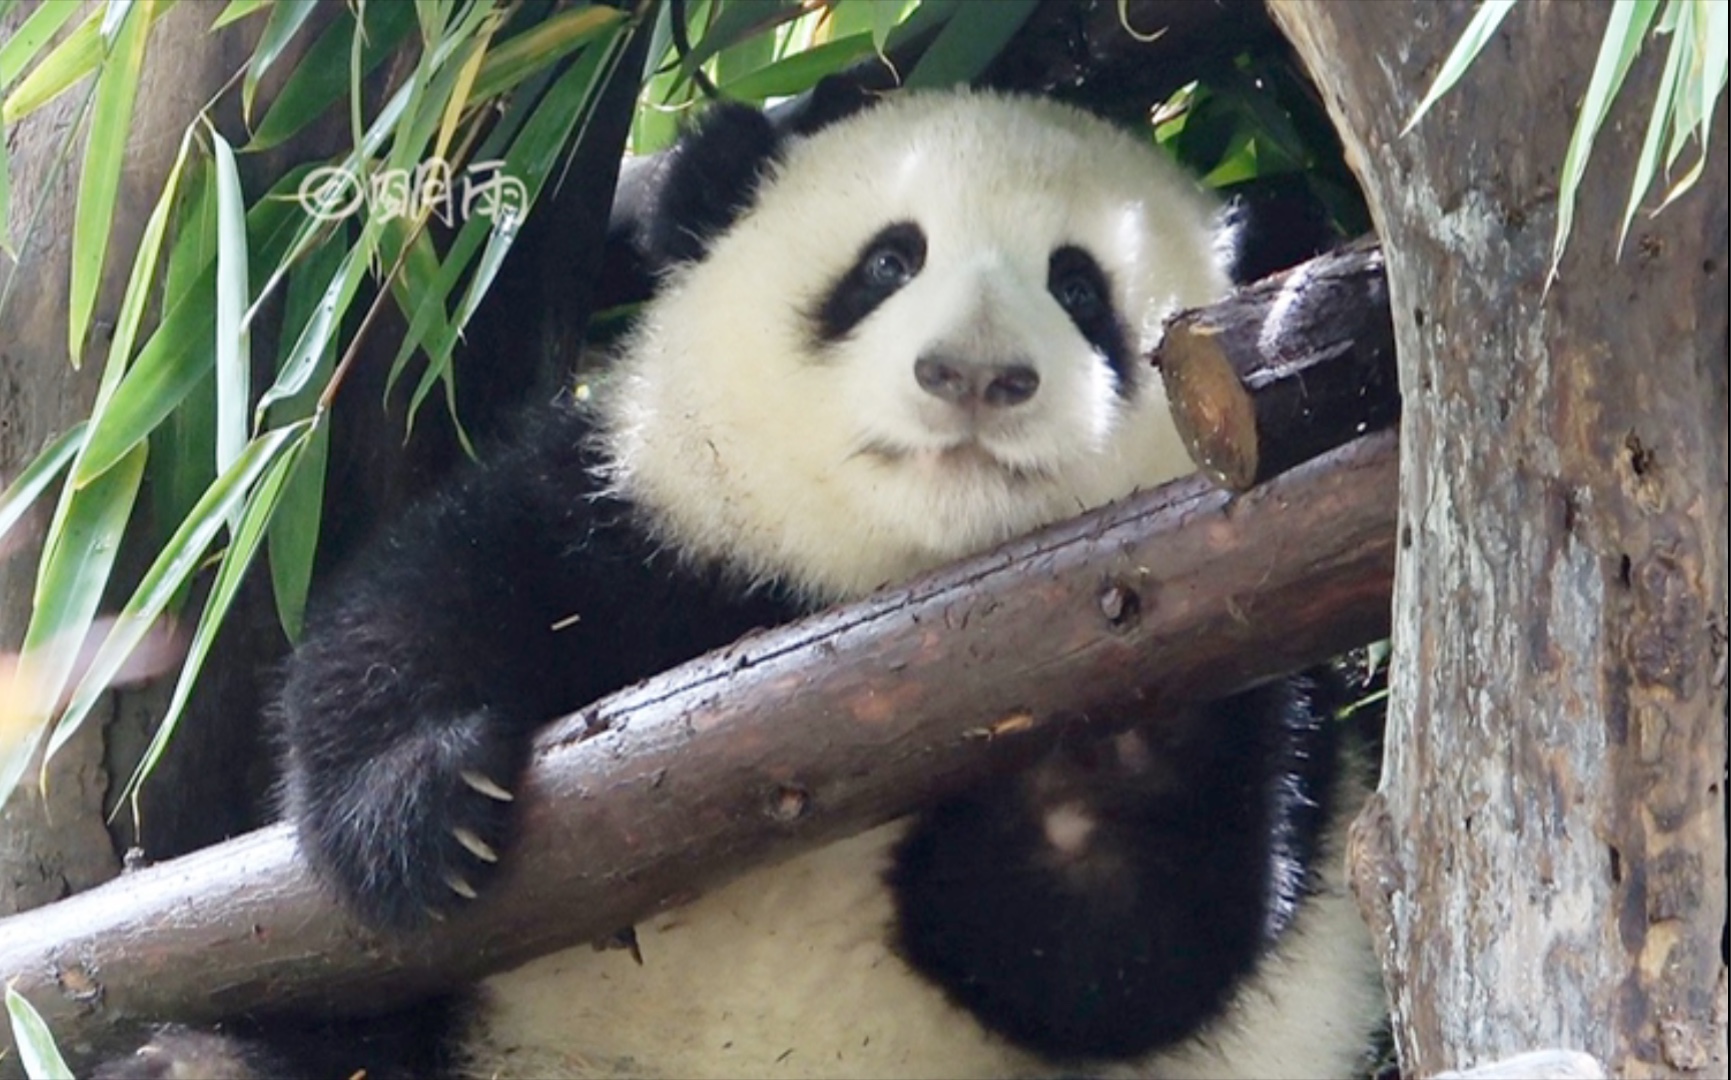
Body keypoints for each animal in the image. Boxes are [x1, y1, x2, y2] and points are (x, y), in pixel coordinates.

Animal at [104, 90, 1377, 1080]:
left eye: (1081, 290)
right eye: (887, 262)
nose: (972, 373)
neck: (903, 584)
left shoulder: (1290, 741)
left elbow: (1105, 957)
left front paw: (1107, 720)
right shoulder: (653, 527)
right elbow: (431, 598)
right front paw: (427, 808)